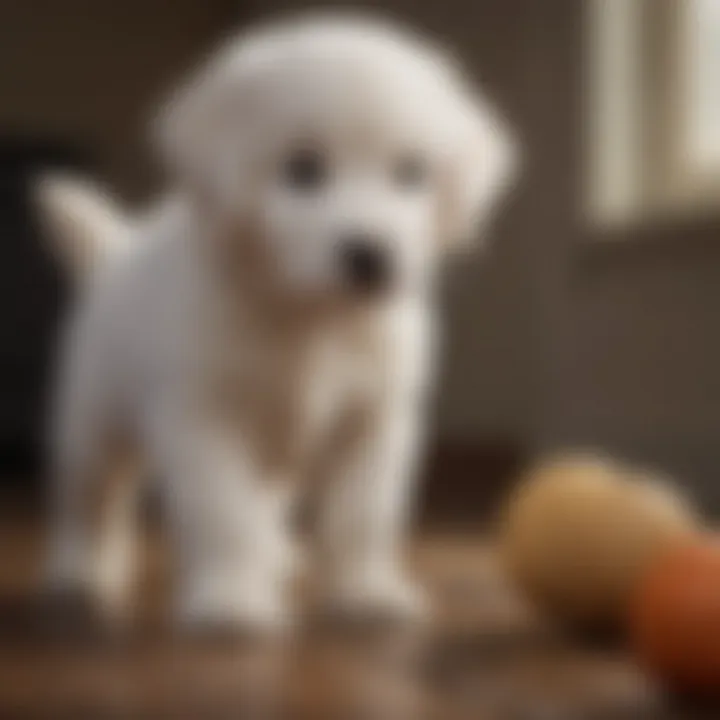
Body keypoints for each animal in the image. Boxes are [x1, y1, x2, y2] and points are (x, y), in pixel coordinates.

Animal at [38, 12, 516, 632]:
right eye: (302, 170)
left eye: (412, 172)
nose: (371, 255)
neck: (310, 317)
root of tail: (117, 251)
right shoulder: (204, 418)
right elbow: (223, 512)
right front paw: (231, 598)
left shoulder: (374, 424)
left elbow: (363, 517)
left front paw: (364, 592)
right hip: (92, 421)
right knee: (90, 501)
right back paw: (79, 573)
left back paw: (277, 556)